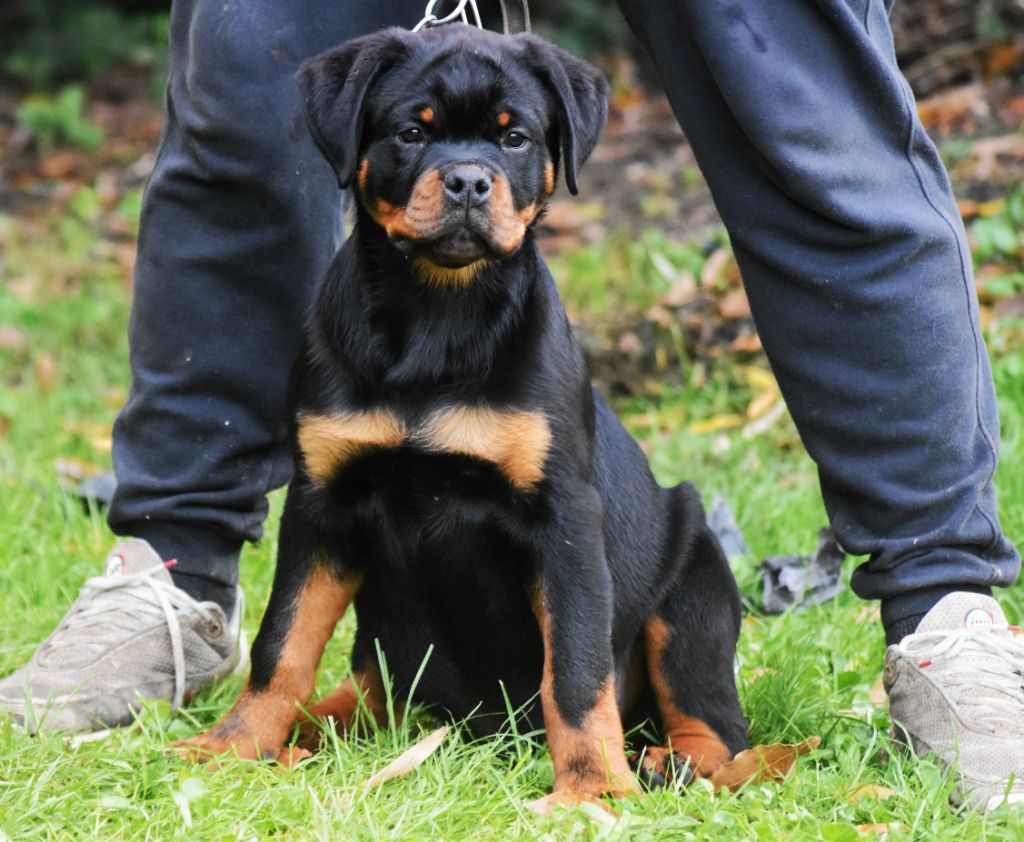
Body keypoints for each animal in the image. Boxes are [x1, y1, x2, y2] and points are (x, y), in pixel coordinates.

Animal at [180, 23, 749, 807]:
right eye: (411, 133)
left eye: (514, 138)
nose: (470, 182)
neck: (436, 311)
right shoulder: (320, 502)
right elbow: (282, 640)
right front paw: (235, 746)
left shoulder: (565, 520)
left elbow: (576, 669)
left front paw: (593, 791)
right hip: (393, 654)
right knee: (370, 688)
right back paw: (313, 730)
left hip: (695, 582)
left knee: (717, 720)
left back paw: (671, 763)